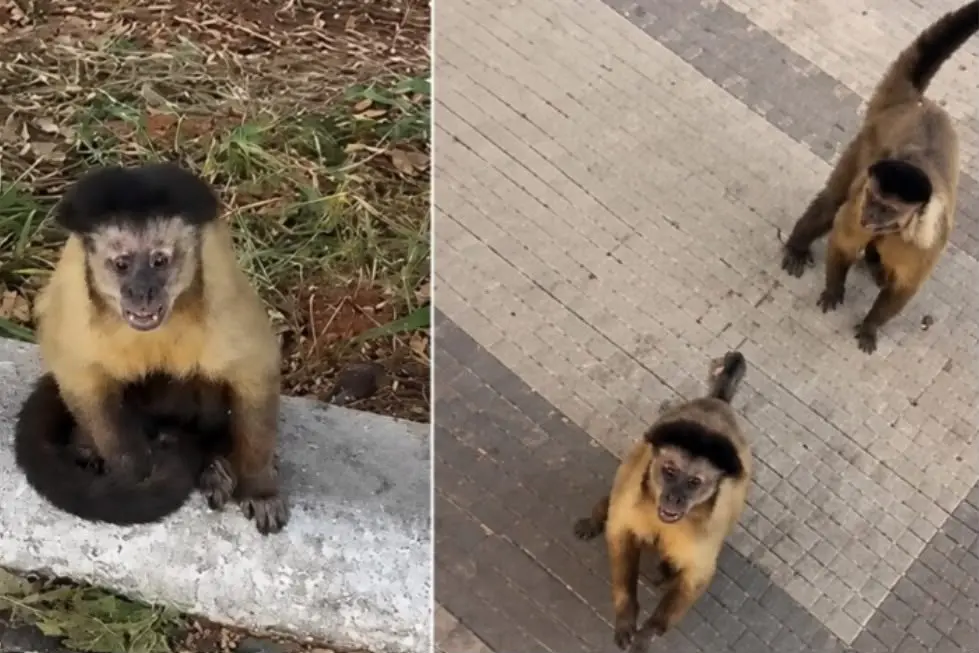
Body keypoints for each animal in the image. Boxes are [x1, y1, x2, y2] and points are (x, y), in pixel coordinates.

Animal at [573, 351, 752, 650]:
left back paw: (666, 569)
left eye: (694, 483)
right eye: (670, 472)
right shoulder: (633, 500)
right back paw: (598, 515)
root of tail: (717, 403)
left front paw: (649, 633)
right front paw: (626, 613)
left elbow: (696, 577)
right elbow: (620, 536)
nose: (674, 497)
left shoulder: (708, 528)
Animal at [780, 1, 978, 354]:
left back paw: (874, 264)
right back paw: (798, 245)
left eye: (886, 208)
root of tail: (916, 103)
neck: (899, 228)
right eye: (873, 199)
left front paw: (871, 324)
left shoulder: (925, 240)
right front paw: (834, 289)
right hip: (866, 141)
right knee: (834, 200)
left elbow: (904, 286)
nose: (869, 214)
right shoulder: (860, 202)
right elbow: (842, 240)